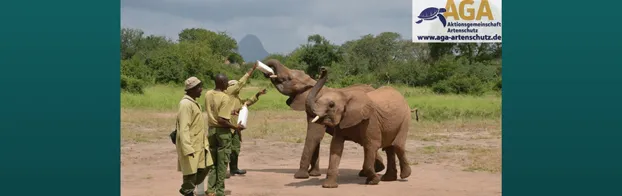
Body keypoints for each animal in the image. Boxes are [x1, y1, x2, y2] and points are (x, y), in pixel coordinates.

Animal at [260, 59, 388, 178]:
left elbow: (313, 135)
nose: (322, 68)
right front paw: (314, 174)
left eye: (288, 78)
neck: (312, 84)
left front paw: (300, 176)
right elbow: (316, 137)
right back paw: (374, 169)